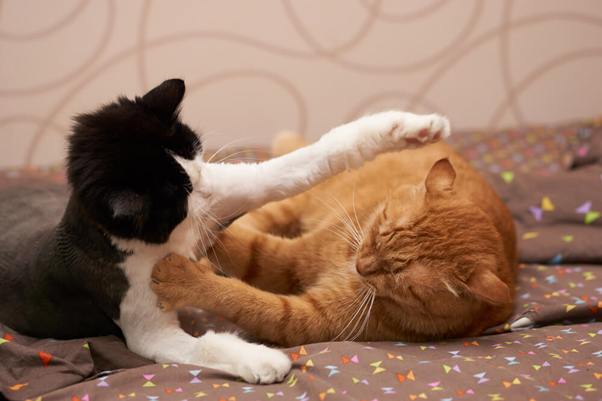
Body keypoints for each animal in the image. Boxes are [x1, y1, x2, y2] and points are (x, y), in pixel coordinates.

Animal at [0, 78, 448, 382]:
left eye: (193, 152)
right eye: (177, 195)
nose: (210, 188)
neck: (162, 238)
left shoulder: (236, 194)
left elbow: (319, 155)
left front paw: (413, 127)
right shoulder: (139, 314)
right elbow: (202, 345)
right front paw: (263, 360)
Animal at [150, 135, 516, 346]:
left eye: (398, 277)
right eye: (380, 227)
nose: (361, 266)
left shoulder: (298, 316)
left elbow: (240, 295)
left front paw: (182, 278)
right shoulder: (294, 255)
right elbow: (239, 241)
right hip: (290, 206)